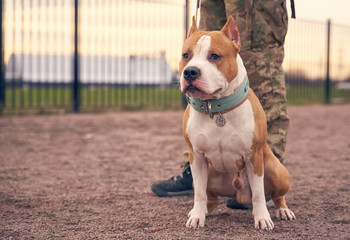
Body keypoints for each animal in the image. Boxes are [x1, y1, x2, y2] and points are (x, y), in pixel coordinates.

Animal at [179, 16, 294, 231]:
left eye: (215, 56)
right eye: (186, 55)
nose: (190, 72)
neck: (216, 109)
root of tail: (239, 194)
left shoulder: (254, 156)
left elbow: (258, 194)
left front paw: (262, 218)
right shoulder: (196, 157)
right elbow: (199, 194)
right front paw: (197, 216)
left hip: (277, 171)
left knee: (275, 195)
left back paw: (282, 210)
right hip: (206, 175)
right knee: (210, 197)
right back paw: (203, 210)